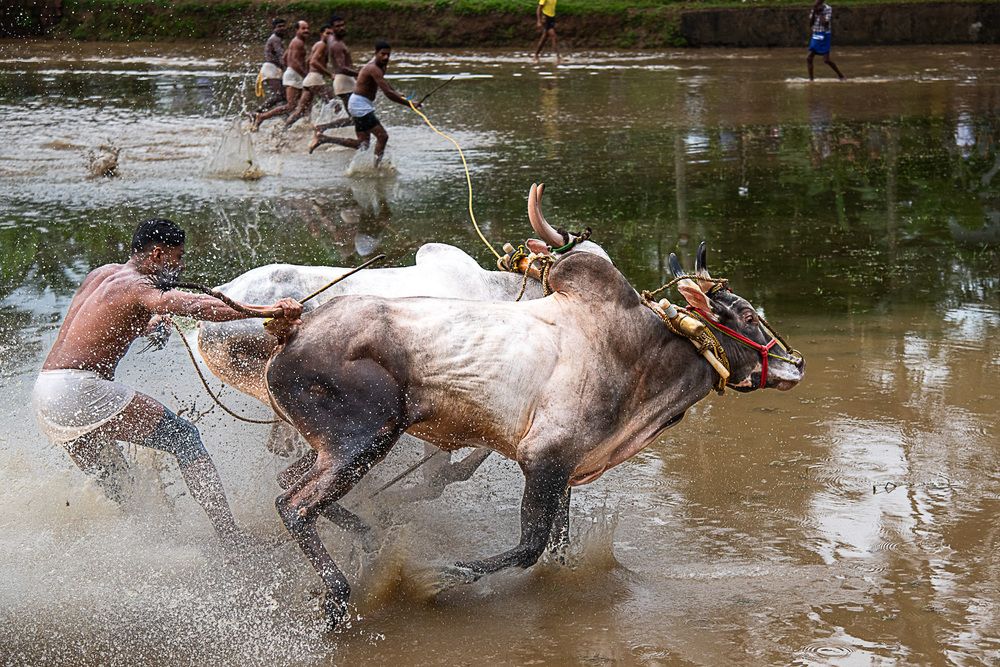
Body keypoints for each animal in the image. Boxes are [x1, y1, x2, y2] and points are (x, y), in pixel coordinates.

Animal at [262, 237, 806, 628]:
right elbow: (530, 546)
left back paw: (370, 543)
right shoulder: (543, 459)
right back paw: (339, 598)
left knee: (291, 486)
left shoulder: (565, 469)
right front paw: (443, 576)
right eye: (749, 315)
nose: (795, 363)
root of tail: (293, 329)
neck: (642, 357)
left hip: (339, 443)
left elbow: (556, 547)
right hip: (366, 438)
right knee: (295, 505)